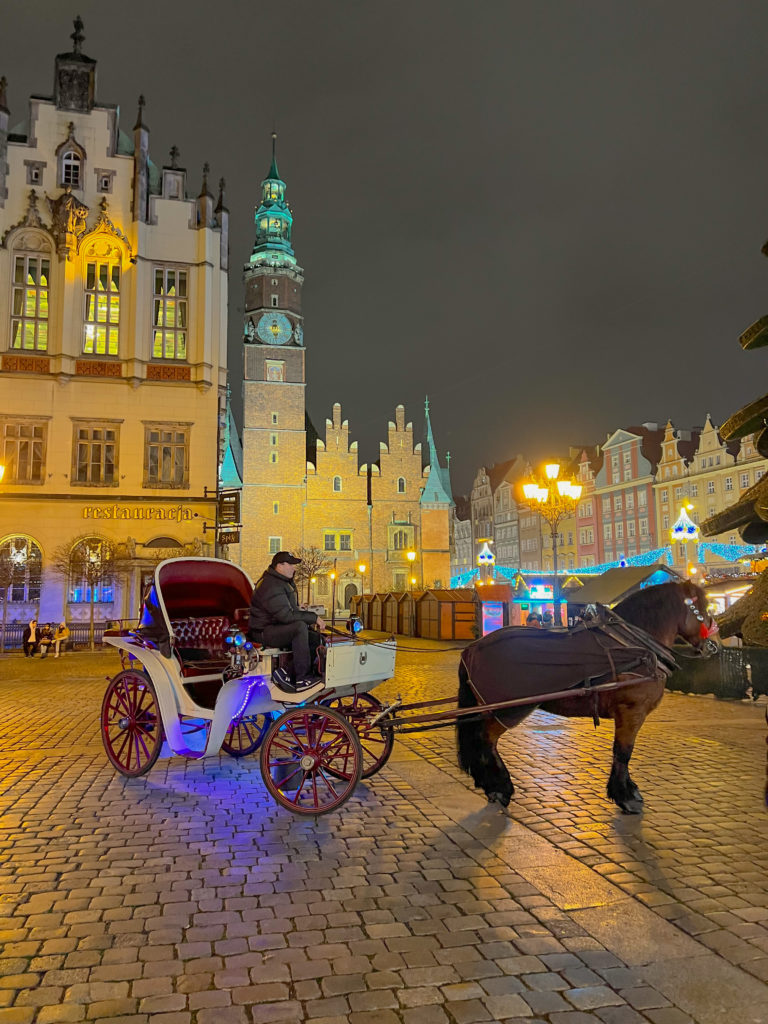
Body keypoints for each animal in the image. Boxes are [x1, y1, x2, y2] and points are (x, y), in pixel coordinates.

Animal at [456, 585, 716, 815]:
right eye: (702, 608)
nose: (712, 645)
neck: (630, 645)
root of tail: (472, 649)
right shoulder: (631, 712)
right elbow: (623, 752)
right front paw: (625, 796)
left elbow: (622, 752)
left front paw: (629, 790)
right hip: (508, 711)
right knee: (486, 741)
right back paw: (500, 787)